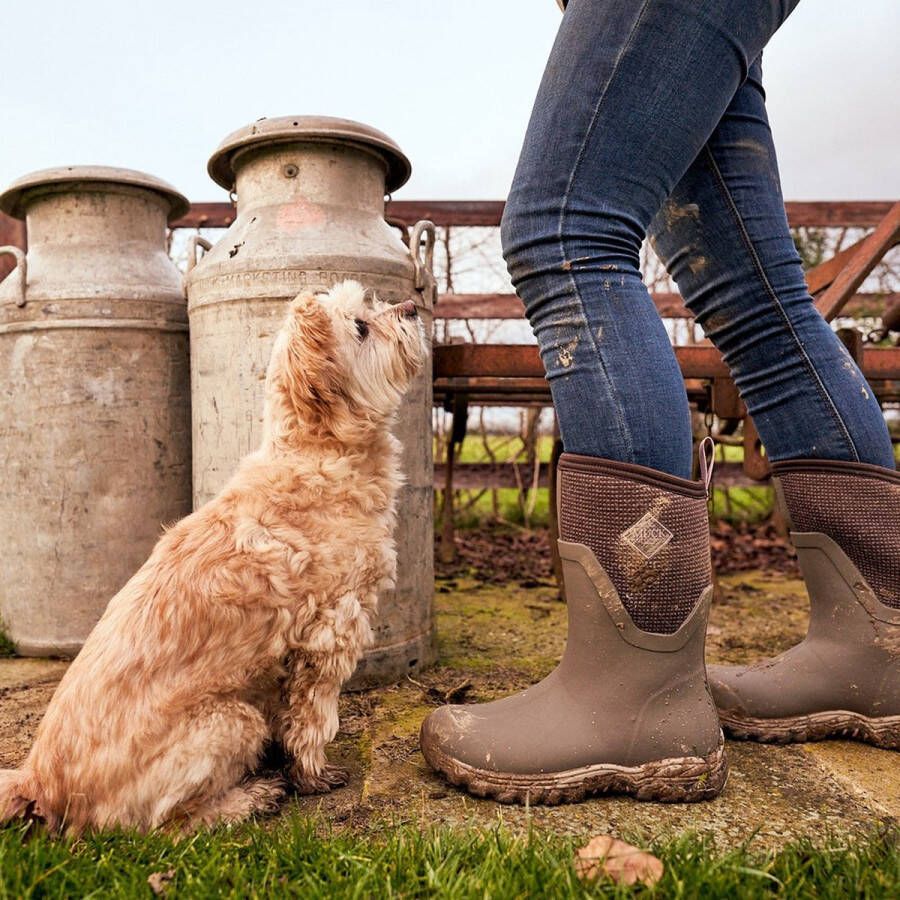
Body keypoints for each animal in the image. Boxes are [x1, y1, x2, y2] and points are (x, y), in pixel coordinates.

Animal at [0, 282, 428, 836]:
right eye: (360, 326)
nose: (413, 307)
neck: (318, 455)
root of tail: (40, 782)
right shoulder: (329, 635)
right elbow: (312, 719)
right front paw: (312, 774)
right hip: (230, 721)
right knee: (165, 826)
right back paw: (250, 798)